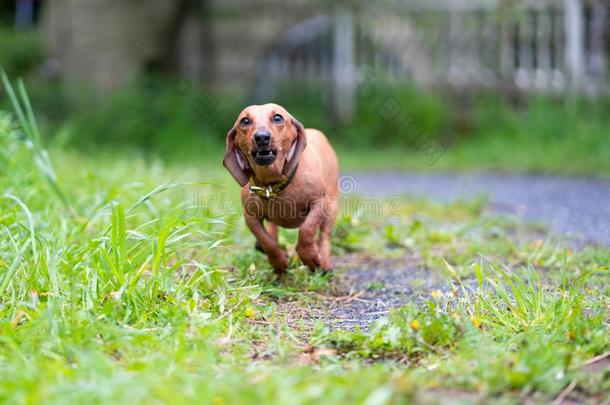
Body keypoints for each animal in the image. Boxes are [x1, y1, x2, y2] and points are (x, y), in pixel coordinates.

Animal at [222, 104, 338, 274]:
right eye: (245, 121)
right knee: (272, 229)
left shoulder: (319, 203)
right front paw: (279, 262)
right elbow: (267, 241)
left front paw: (310, 257)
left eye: (278, 117)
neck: (274, 184)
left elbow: (307, 230)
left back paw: (324, 262)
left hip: (332, 208)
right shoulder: (250, 217)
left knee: (324, 236)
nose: (261, 137)